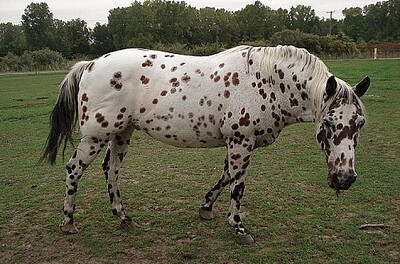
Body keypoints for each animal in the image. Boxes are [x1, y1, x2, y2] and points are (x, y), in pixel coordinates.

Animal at [40, 45, 368, 245]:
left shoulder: (235, 144)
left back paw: (123, 217)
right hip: (96, 135)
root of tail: (91, 64)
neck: (267, 82)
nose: (345, 179)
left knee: (111, 171)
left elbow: (224, 177)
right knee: (74, 169)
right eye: (328, 124)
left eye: (360, 124)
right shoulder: (241, 142)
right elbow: (237, 185)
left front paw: (206, 207)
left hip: (122, 133)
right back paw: (68, 221)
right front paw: (238, 228)